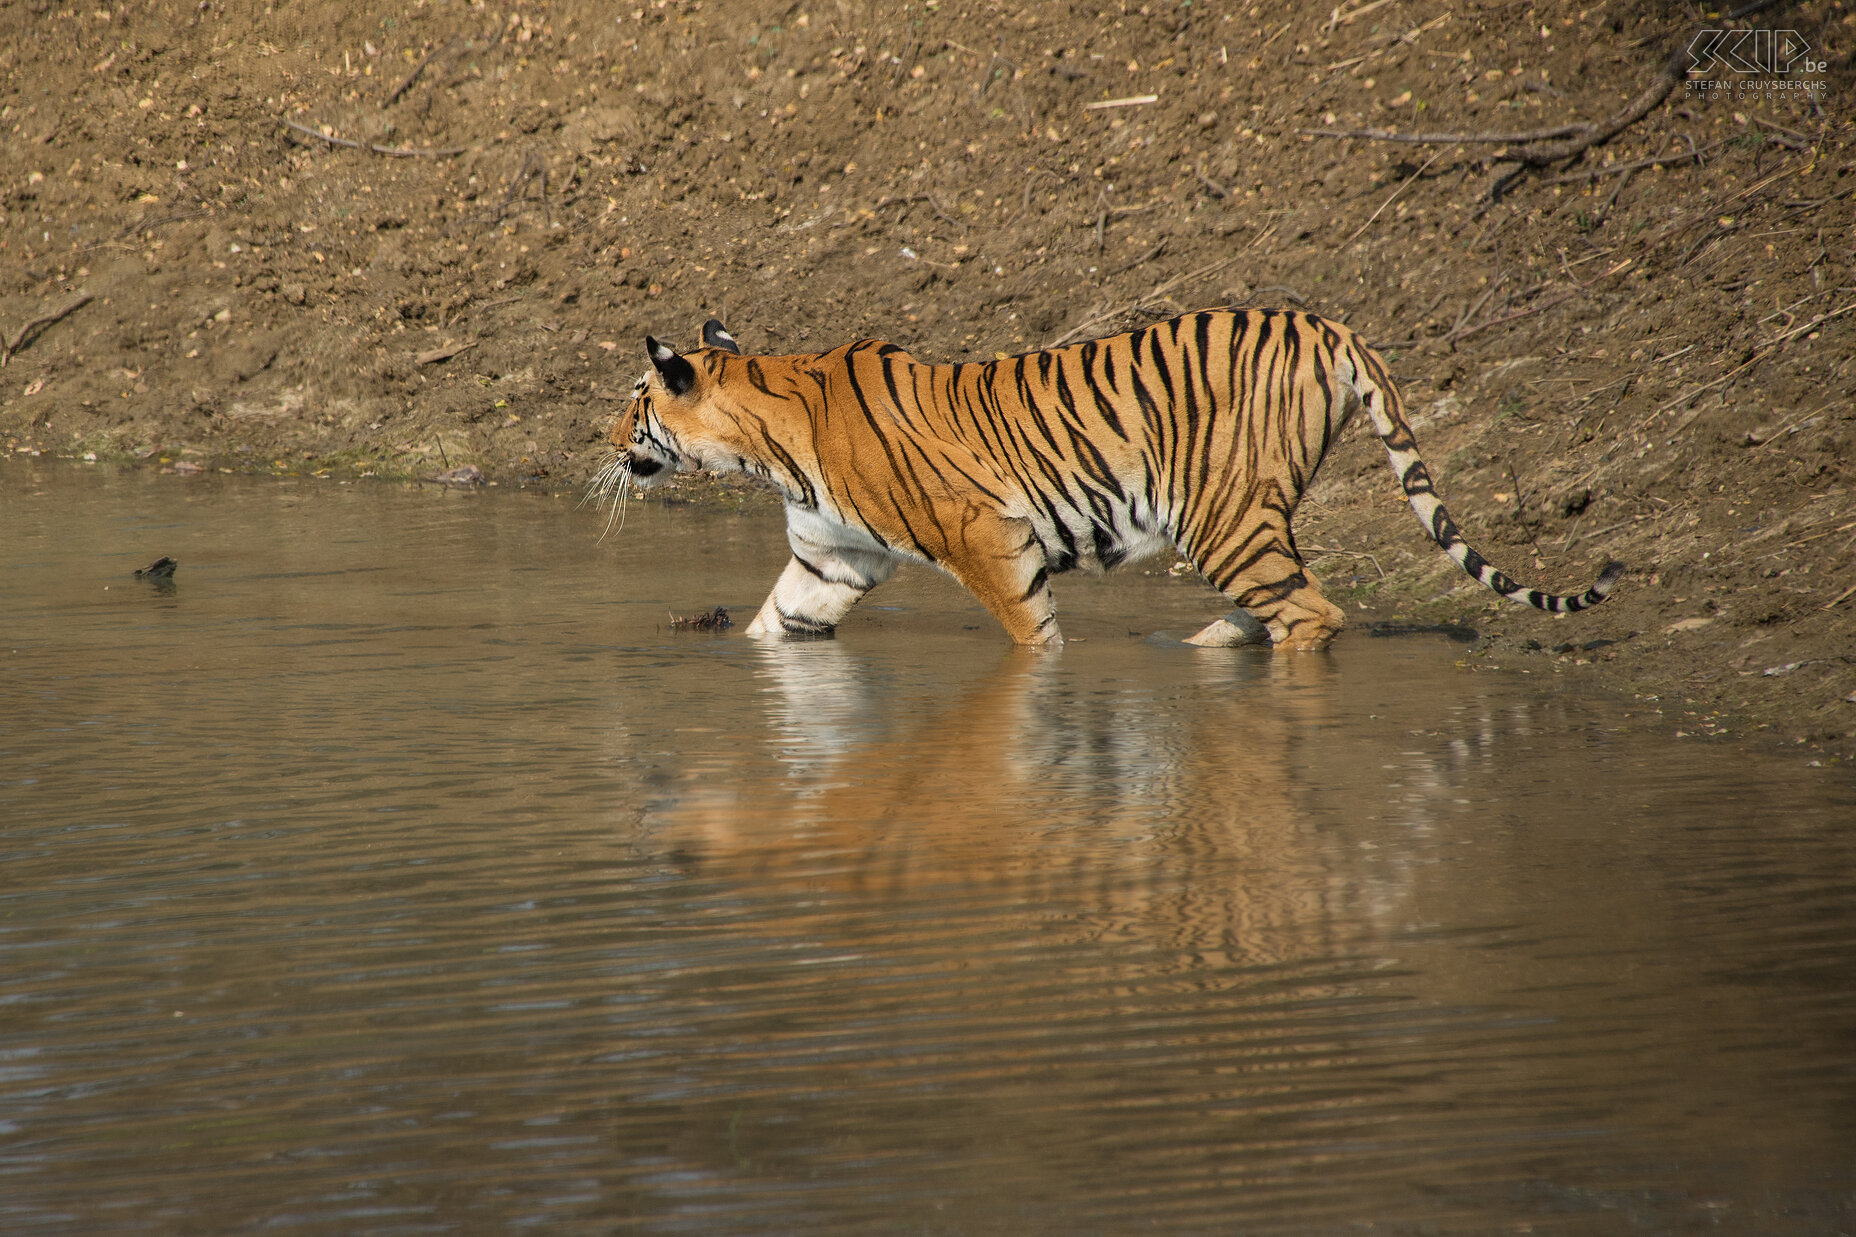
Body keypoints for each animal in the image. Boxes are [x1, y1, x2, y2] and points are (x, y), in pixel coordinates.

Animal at [586, 308, 1618, 650]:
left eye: (634, 401)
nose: (601, 438)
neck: (765, 438)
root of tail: (1325, 324)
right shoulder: (828, 559)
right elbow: (774, 630)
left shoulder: (987, 539)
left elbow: (1033, 641)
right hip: (1250, 517)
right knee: (1287, 600)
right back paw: (1205, 646)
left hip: (1220, 514)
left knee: (1314, 612)